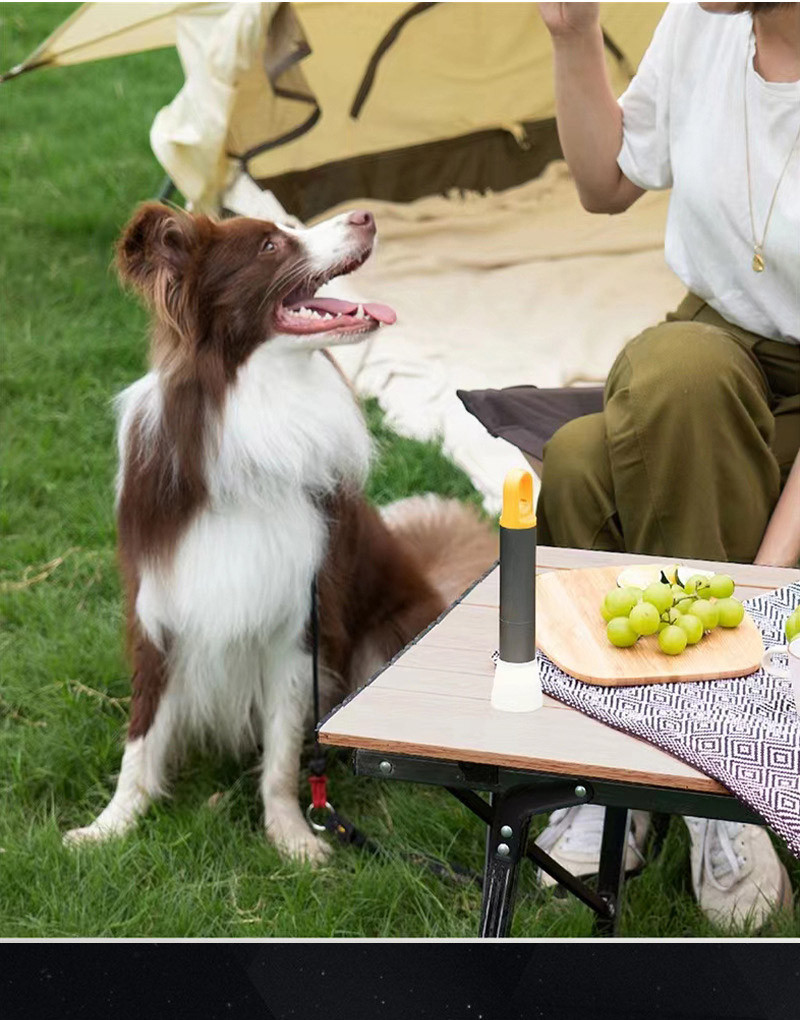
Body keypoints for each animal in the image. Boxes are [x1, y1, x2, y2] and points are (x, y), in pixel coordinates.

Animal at [65, 202, 495, 856]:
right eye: (270, 244)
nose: (366, 214)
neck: (251, 410)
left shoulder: (299, 621)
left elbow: (285, 750)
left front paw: (293, 836)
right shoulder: (160, 606)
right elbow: (141, 734)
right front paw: (110, 826)